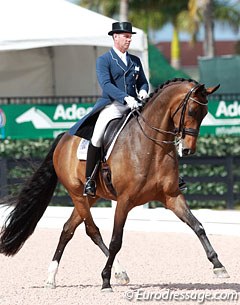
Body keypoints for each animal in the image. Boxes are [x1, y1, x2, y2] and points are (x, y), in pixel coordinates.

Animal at [0, 78, 230, 290]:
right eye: (191, 111)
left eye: (205, 113)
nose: (188, 149)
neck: (151, 147)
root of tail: (64, 137)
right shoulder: (124, 200)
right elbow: (116, 240)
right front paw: (105, 280)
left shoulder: (172, 196)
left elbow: (197, 226)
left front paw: (219, 266)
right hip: (78, 194)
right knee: (92, 231)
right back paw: (114, 273)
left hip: (91, 198)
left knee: (67, 229)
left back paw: (52, 278)